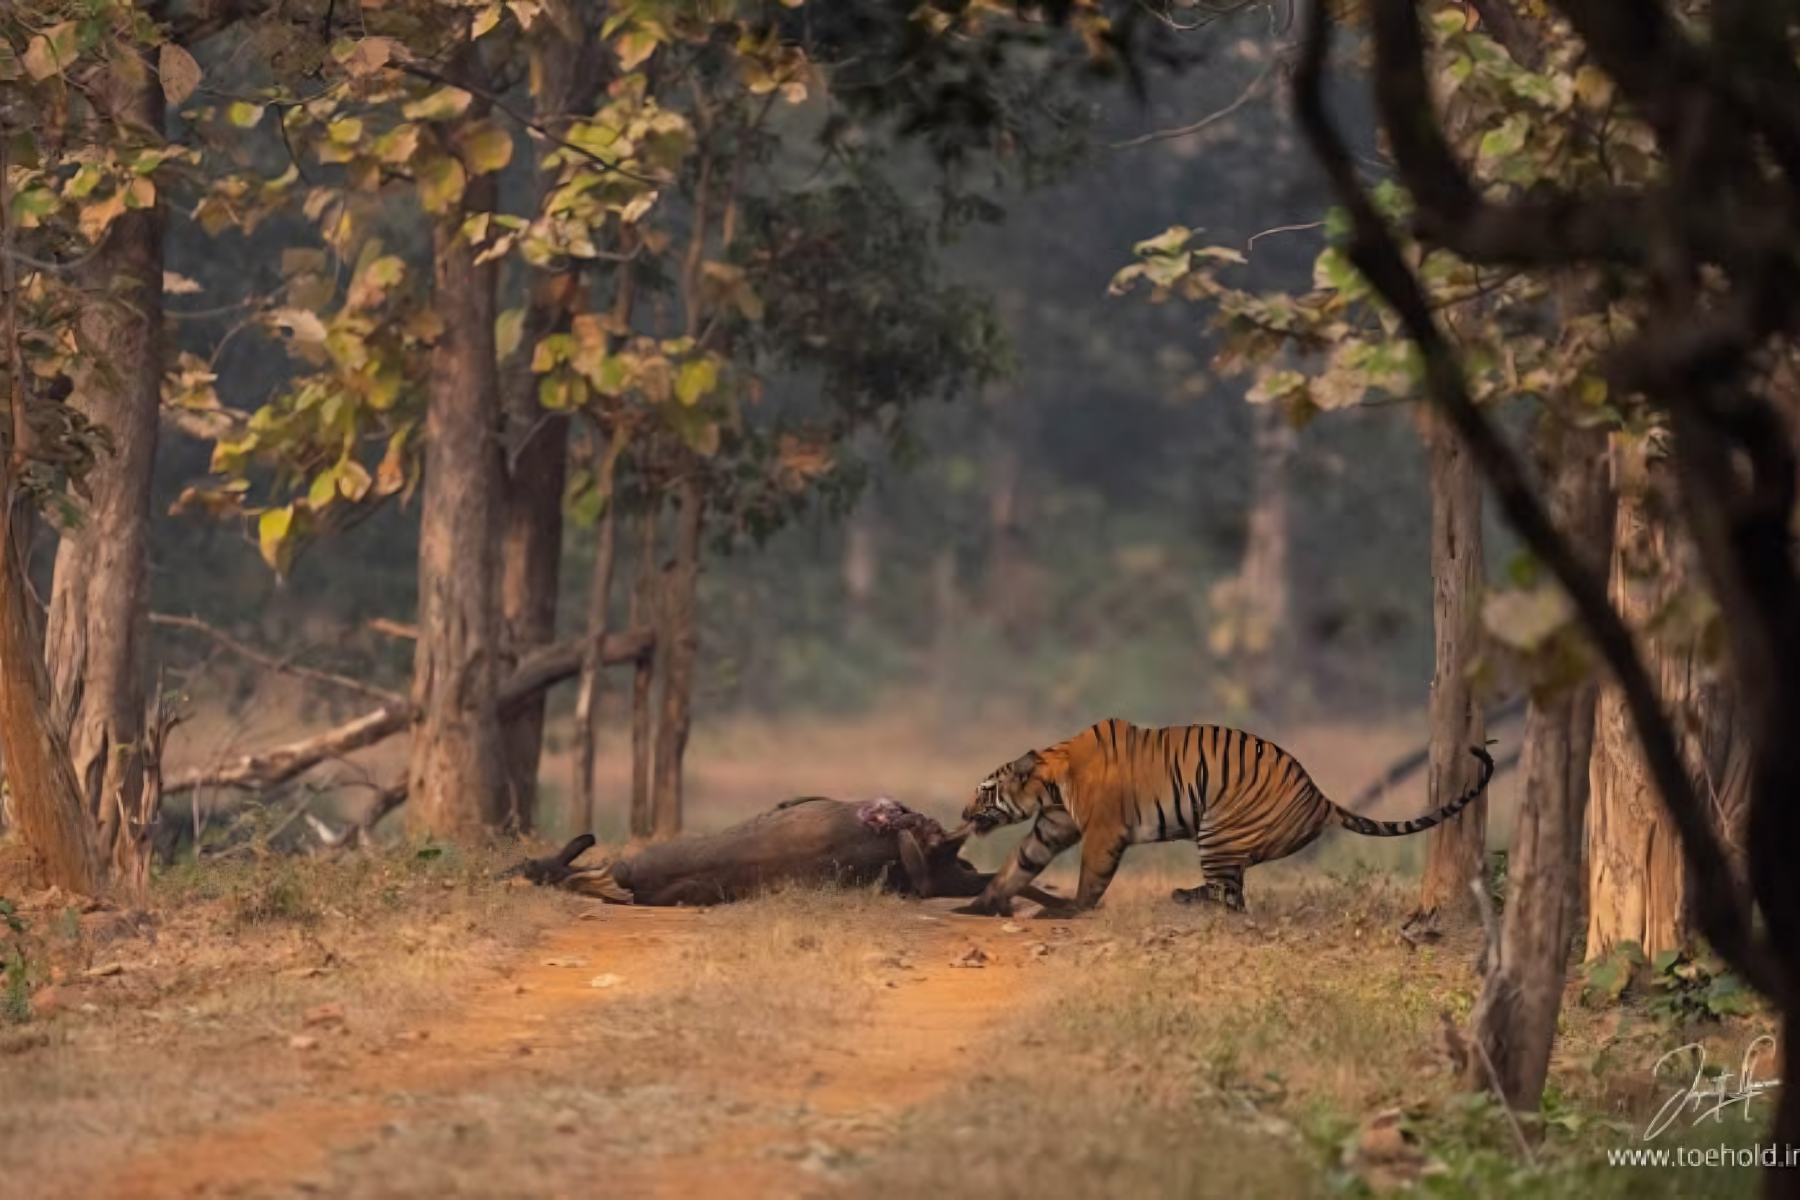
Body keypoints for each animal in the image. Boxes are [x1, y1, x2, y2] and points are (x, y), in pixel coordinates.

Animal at [957, 717, 1495, 917]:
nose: (962, 812)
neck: (1052, 783)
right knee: (1235, 892)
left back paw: (1183, 897)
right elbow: (1016, 866)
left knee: (1230, 897)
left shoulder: (1103, 832)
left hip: (1216, 828)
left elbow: (1091, 876)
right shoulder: (1050, 828)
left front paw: (1068, 909)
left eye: (985, 790)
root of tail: (1320, 796)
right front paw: (979, 904)